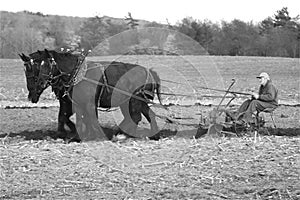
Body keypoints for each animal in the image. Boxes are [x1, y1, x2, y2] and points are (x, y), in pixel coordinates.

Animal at [19, 49, 163, 141]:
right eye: (27, 69)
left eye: (41, 66)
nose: (32, 94)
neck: (75, 74)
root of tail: (149, 72)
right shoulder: (72, 102)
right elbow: (66, 117)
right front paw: (70, 134)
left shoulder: (88, 103)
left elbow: (90, 119)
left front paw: (94, 135)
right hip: (135, 101)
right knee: (147, 115)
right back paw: (152, 134)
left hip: (133, 101)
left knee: (135, 117)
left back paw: (120, 134)